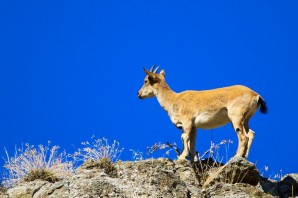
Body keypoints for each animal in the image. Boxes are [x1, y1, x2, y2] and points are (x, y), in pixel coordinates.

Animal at [138, 65, 268, 162]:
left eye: (146, 80)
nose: (138, 94)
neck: (173, 100)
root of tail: (256, 95)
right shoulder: (194, 127)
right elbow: (192, 143)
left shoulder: (187, 122)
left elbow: (184, 138)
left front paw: (181, 157)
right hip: (245, 119)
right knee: (251, 134)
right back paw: (244, 157)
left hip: (236, 117)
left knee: (244, 136)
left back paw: (236, 156)